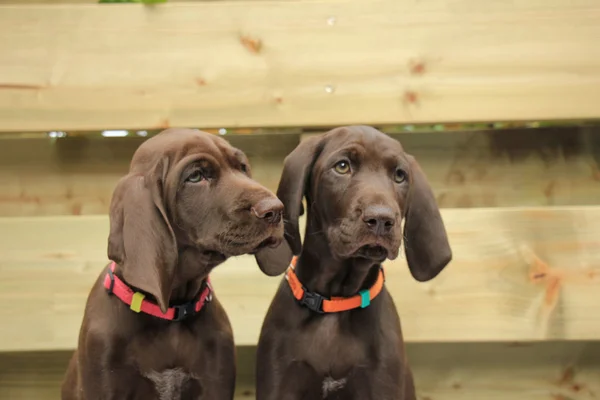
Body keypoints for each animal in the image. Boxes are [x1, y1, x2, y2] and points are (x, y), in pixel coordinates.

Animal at [253, 126, 450, 400]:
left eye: (400, 175)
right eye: (342, 166)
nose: (381, 220)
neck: (336, 304)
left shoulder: (380, 383)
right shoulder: (279, 381)